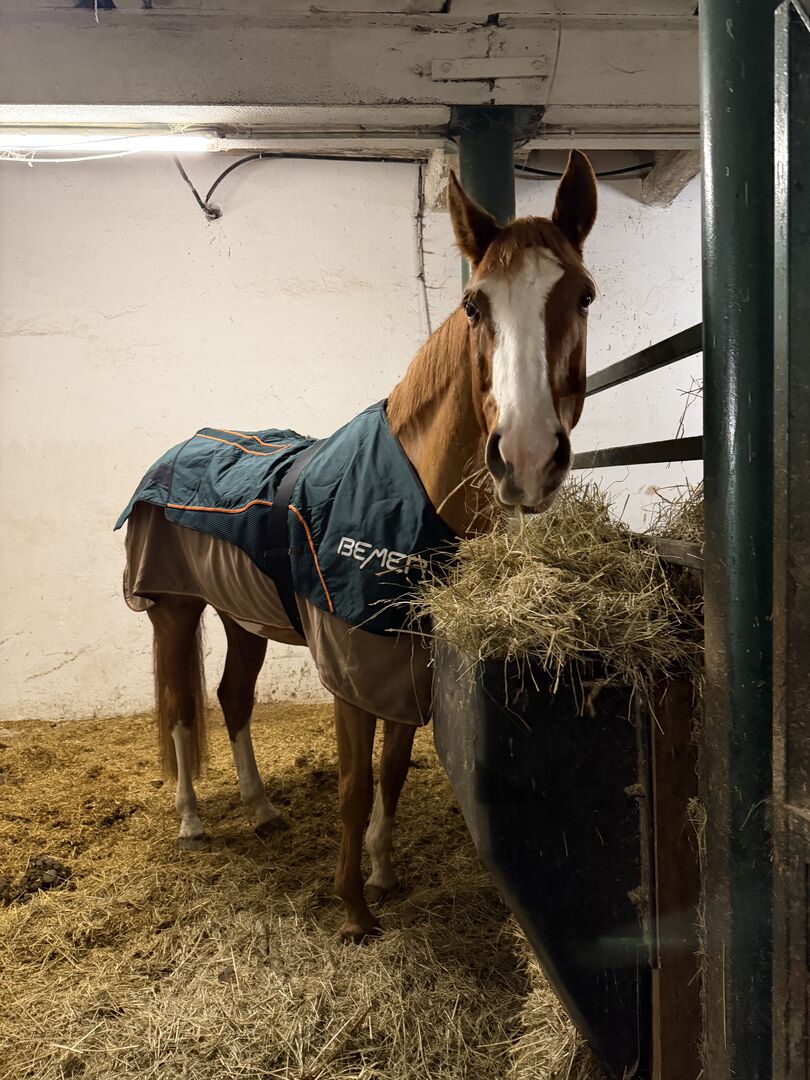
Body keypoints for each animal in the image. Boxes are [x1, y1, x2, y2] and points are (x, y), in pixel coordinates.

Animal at [117, 152, 598, 942]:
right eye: (474, 306)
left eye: (583, 296)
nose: (526, 457)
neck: (407, 492)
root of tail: (178, 449)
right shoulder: (349, 664)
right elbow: (351, 784)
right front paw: (353, 911)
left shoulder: (405, 656)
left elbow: (393, 770)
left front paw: (381, 871)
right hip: (175, 610)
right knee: (182, 705)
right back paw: (191, 821)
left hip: (242, 617)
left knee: (233, 698)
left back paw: (261, 809)